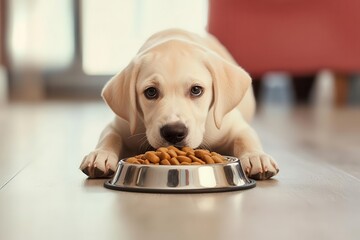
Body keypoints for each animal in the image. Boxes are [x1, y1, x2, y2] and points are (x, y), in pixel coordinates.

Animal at [80, 28, 280, 180]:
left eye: (196, 90)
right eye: (151, 92)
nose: (174, 132)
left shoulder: (232, 124)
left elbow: (245, 138)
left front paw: (256, 157)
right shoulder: (123, 124)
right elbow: (109, 136)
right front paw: (100, 154)